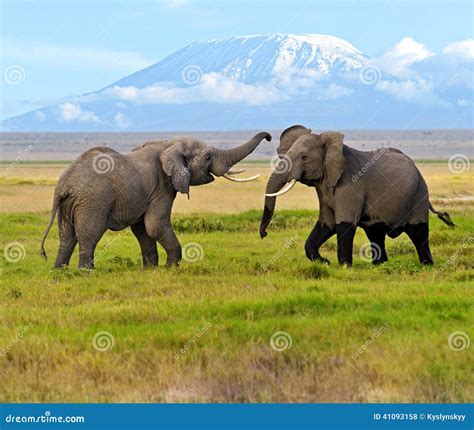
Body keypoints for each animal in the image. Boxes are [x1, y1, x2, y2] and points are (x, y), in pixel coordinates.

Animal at [40, 133, 270, 270]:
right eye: (206, 158)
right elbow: (155, 225)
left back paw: (60, 271)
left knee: (66, 236)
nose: (268, 136)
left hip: (69, 204)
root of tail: (63, 185)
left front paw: (151, 269)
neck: (168, 143)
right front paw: (171, 268)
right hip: (93, 201)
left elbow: (143, 229)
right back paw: (86, 272)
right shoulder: (161, 187)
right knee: (89, 235)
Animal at [262, 123, 454, 266]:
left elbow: (344, 224)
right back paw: (380, 265)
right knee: (376, 233)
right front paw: (325, 262)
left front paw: (344, 267)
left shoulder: (350, 184)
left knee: (418, 232)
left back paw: (427, 265)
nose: (264, 235)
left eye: (303, 157)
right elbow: (326, 224)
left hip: (419, 193)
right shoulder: (324, 187)